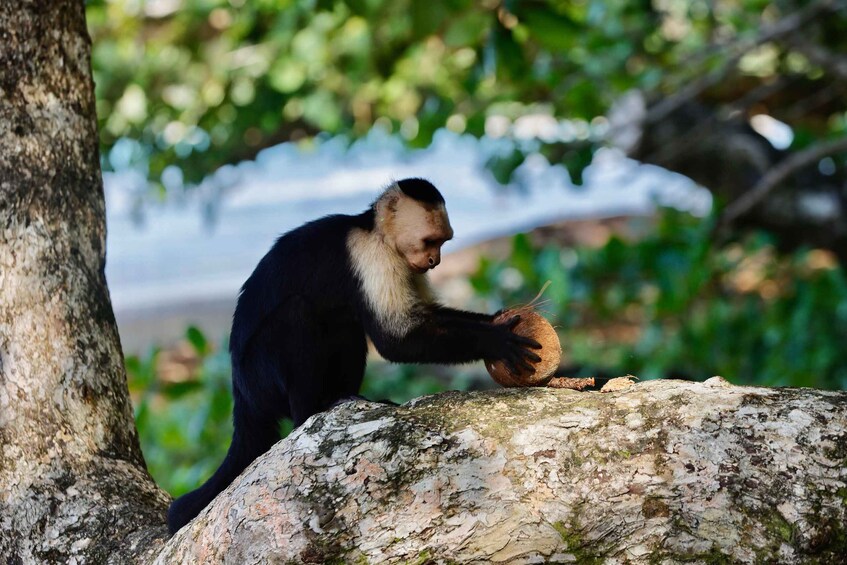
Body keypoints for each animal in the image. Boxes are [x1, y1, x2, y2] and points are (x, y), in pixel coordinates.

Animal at [168, 176, 540, 532]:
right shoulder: (372, 257)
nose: (436, 262)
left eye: (444, 242)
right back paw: (311, 412)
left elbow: (424, 317)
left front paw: (497, 320)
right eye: (429, 241)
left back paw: (349, 397)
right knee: (296, 314)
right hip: (258, 376)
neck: (375, 232)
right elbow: (397, 339)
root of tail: (240, 391)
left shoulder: (405, 265)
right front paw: (497, 340)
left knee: (345, 324)